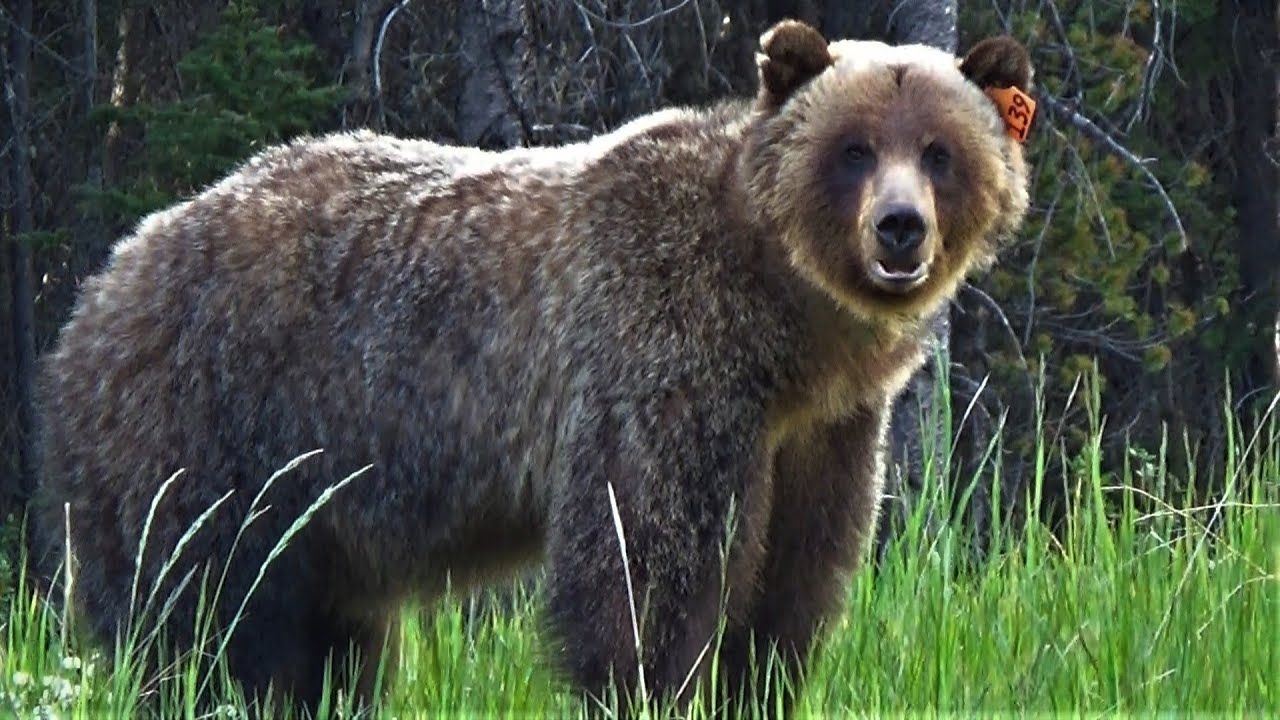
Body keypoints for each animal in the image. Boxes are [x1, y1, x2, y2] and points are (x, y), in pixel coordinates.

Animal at [30, 19, 1034, 719]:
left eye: (940, 151)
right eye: (854, 147)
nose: (899, 228)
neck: (784, 324)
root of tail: (100, 285)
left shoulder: (821, 429)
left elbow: (796, 579)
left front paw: (758, 678)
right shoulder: (662, 352)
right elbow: (644, 564)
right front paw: (653, 684)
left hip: (317, 506)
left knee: (331, 637)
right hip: (207, 429)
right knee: (194, 614)